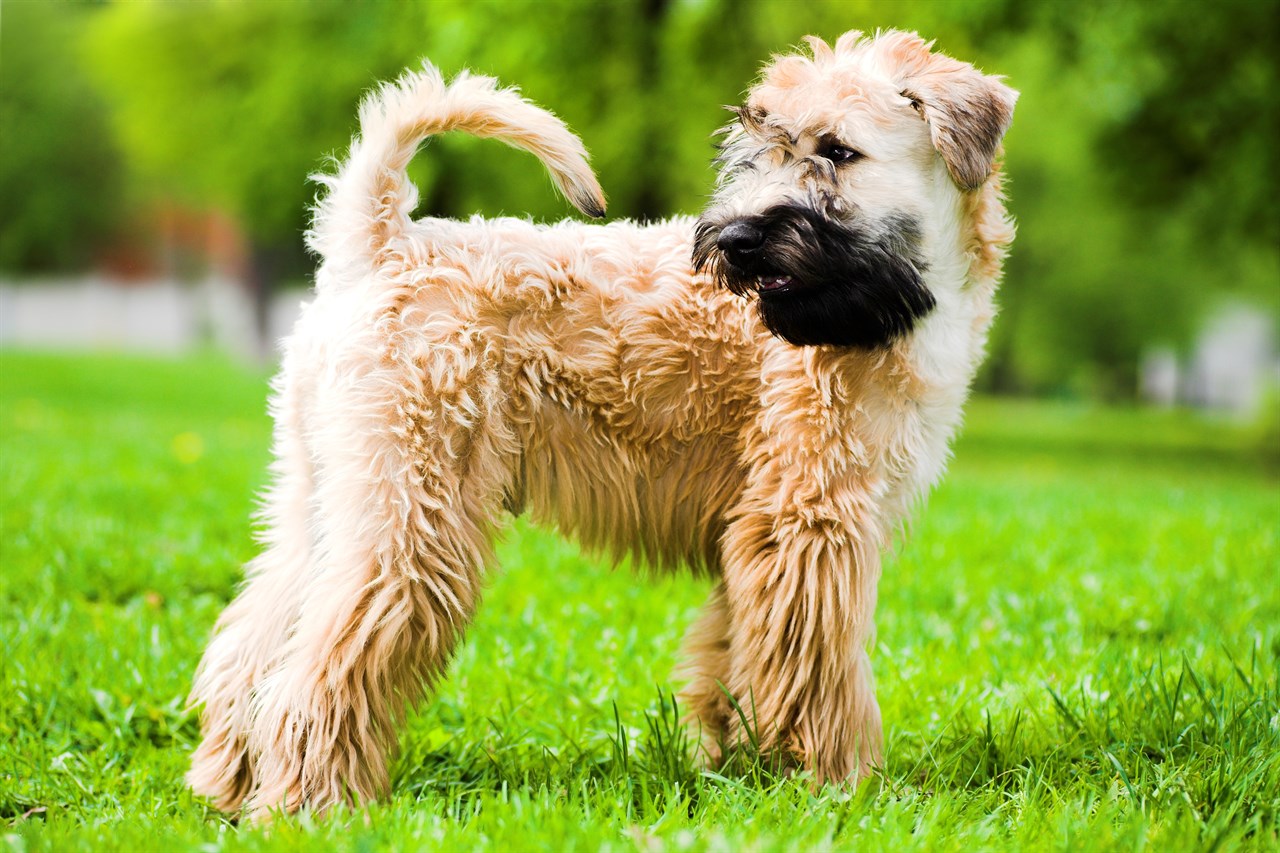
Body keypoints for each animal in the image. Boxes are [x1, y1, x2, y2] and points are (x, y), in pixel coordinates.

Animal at [189, 29, 1013, 819]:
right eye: (759, 148)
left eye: (838, 151)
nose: (735, 240)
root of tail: (383, 243)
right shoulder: (810, 522)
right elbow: (821, 670)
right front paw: (841, 783)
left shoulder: (754, 533)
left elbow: (738, 657)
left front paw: (739, 767)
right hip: (416, 520)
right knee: (318, 668)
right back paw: (311, 803)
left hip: (327, 498)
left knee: (255, 646)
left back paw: (227, 787)